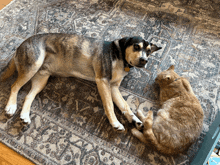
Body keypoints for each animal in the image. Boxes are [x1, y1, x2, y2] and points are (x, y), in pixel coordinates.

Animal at [0, 33, 162, 131]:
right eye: (136, 46)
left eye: (148, 51)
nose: (144, 60)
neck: (120, 56)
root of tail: (19, 47)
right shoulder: (102, 81)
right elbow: (109, 105)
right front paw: (115, 123)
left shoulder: (114, 87)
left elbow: (125, 106)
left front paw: (135, 120)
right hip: (33, 65)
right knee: (14, 86)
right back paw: (11, 107)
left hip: (42, 78)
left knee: (29, 95)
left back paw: (25, 116)